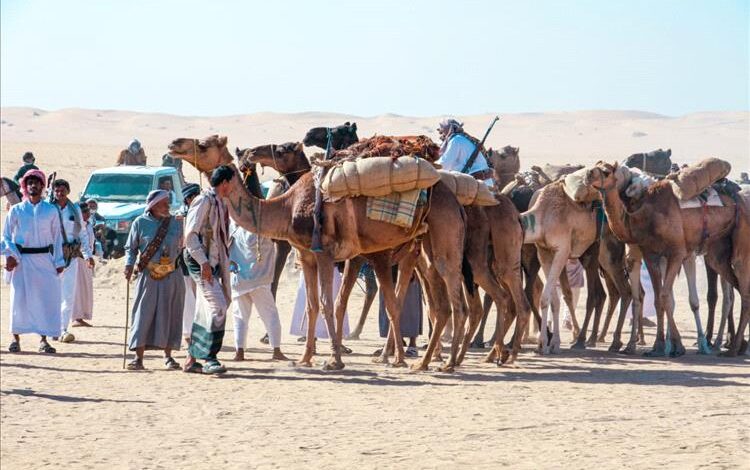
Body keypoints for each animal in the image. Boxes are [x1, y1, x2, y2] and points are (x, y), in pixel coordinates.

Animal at [173, 134, 472, 370]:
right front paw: (305, 358)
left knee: (454, 300)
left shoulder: (325, 253)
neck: (287, 207)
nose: (175, 144)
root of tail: (455, 203)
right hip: (424, 251)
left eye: (203, 144)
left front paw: (334, 360)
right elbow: (313, 305)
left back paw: (446, 362)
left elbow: (330, 303)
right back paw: (425, 362)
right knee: (440, 305)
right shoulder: (306, 257)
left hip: (442, 238)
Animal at [584, 162, 744, 356]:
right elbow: (657, 298)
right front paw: (659, 345)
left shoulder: (678, 253)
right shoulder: (649, 255)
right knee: (732, 294)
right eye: (596, 165)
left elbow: (672, 297)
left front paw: (680, 345)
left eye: (606, 171)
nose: (588, 174)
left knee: (729, 295)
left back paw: (723, 343)